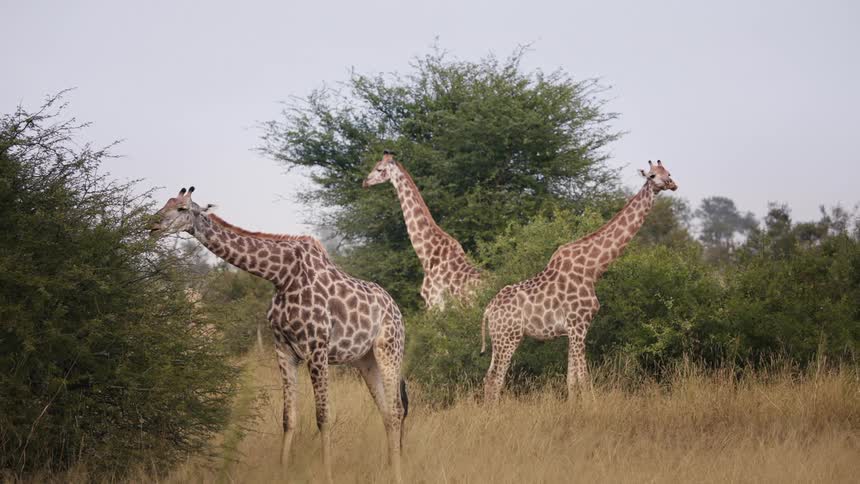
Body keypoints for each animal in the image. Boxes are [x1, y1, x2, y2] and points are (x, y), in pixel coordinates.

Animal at [149, 187, 408, 483]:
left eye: (181, 208)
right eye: (166, 203)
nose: (152, 224)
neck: (282, 276)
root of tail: (396, 308)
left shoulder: (317, 348)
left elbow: (323, 416)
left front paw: (327, 474)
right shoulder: (283, 348)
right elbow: (288, 417)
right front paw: (283, 470)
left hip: (389, 350)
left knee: (397, 410)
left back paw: (398, 474)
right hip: (365, 359)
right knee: (387, 411)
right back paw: (389, 468)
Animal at [481, 160, 678, 403]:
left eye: (668, 172)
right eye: (652, 175)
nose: (672, 184)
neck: (592, 269)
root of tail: (488, 310)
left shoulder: (573, 329)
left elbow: (571, 380)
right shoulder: (579, 325)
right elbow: (583, 378)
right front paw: (591, 407)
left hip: (499, 338)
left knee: (489, 378)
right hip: (508, 337)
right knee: (495, 378)